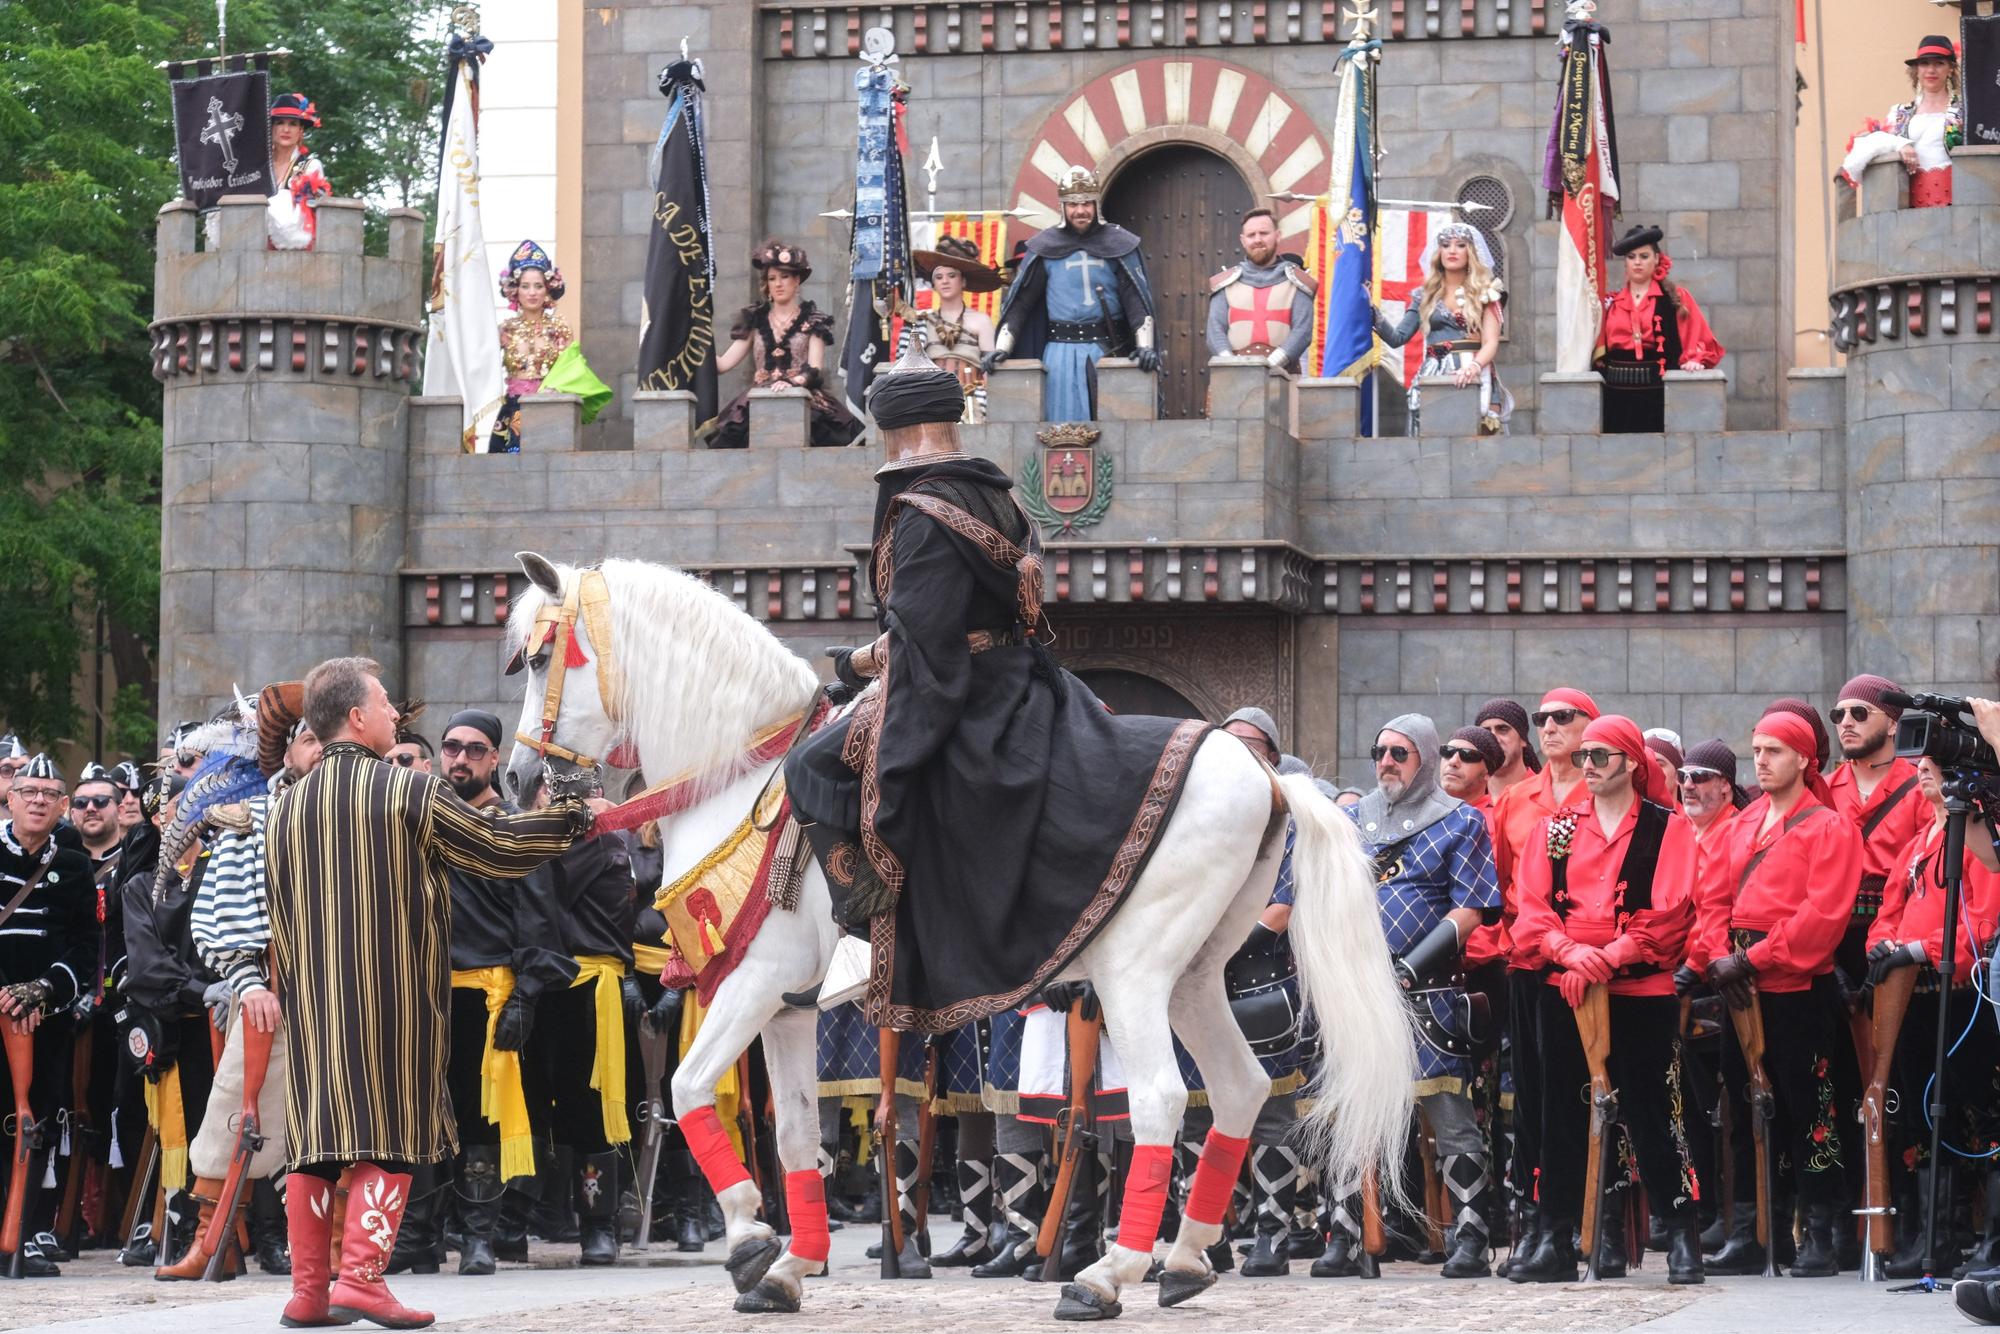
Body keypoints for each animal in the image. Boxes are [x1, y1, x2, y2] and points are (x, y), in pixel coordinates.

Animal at [508, 548, 1416, 1320]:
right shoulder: (786, 1007)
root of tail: (1266, 775)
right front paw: (790, 1265)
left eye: (538, 657)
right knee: (1236, 1089)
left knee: (1161, 1100)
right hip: (1192, 977)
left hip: (1134, 975)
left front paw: (748, 1239)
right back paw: (1186, 1259)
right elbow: (795, 1131)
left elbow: (690, 1088)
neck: (739, 775)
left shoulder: (753, 982)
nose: (517, 782)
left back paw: (1105, 1274)